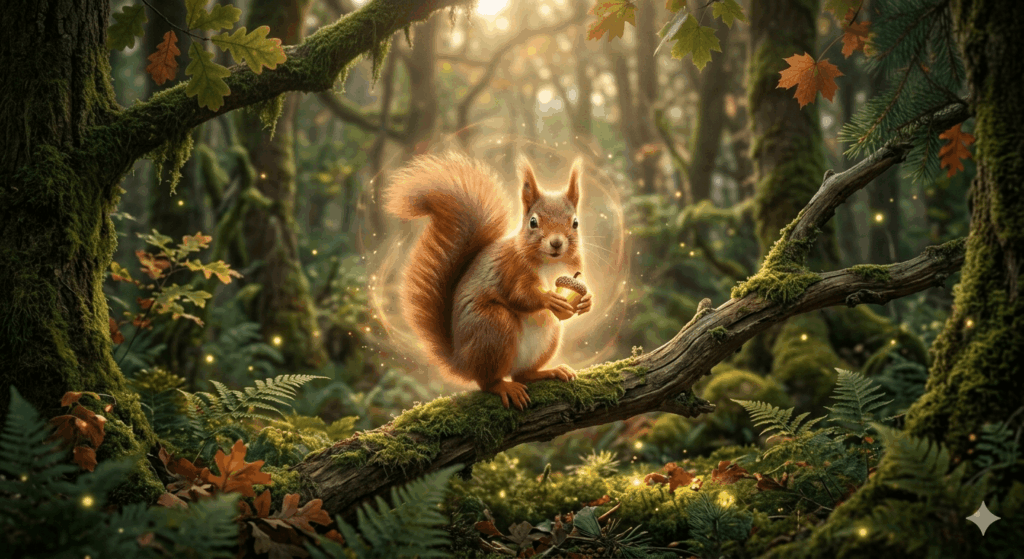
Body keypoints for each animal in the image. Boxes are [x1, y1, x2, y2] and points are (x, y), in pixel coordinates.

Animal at [384, 152, 593, 410]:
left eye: (575, 223)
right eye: (533, 222)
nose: (556, 243)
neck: (551, 263)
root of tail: (461, 360)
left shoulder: (574, 268)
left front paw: (587, 302)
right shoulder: (510, 268)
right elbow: (519, 295)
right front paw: (549, 299)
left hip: (549, 336)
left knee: (523, 374)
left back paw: (549, 372)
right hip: (493, 327)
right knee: (488, 381)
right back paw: (504, 387)